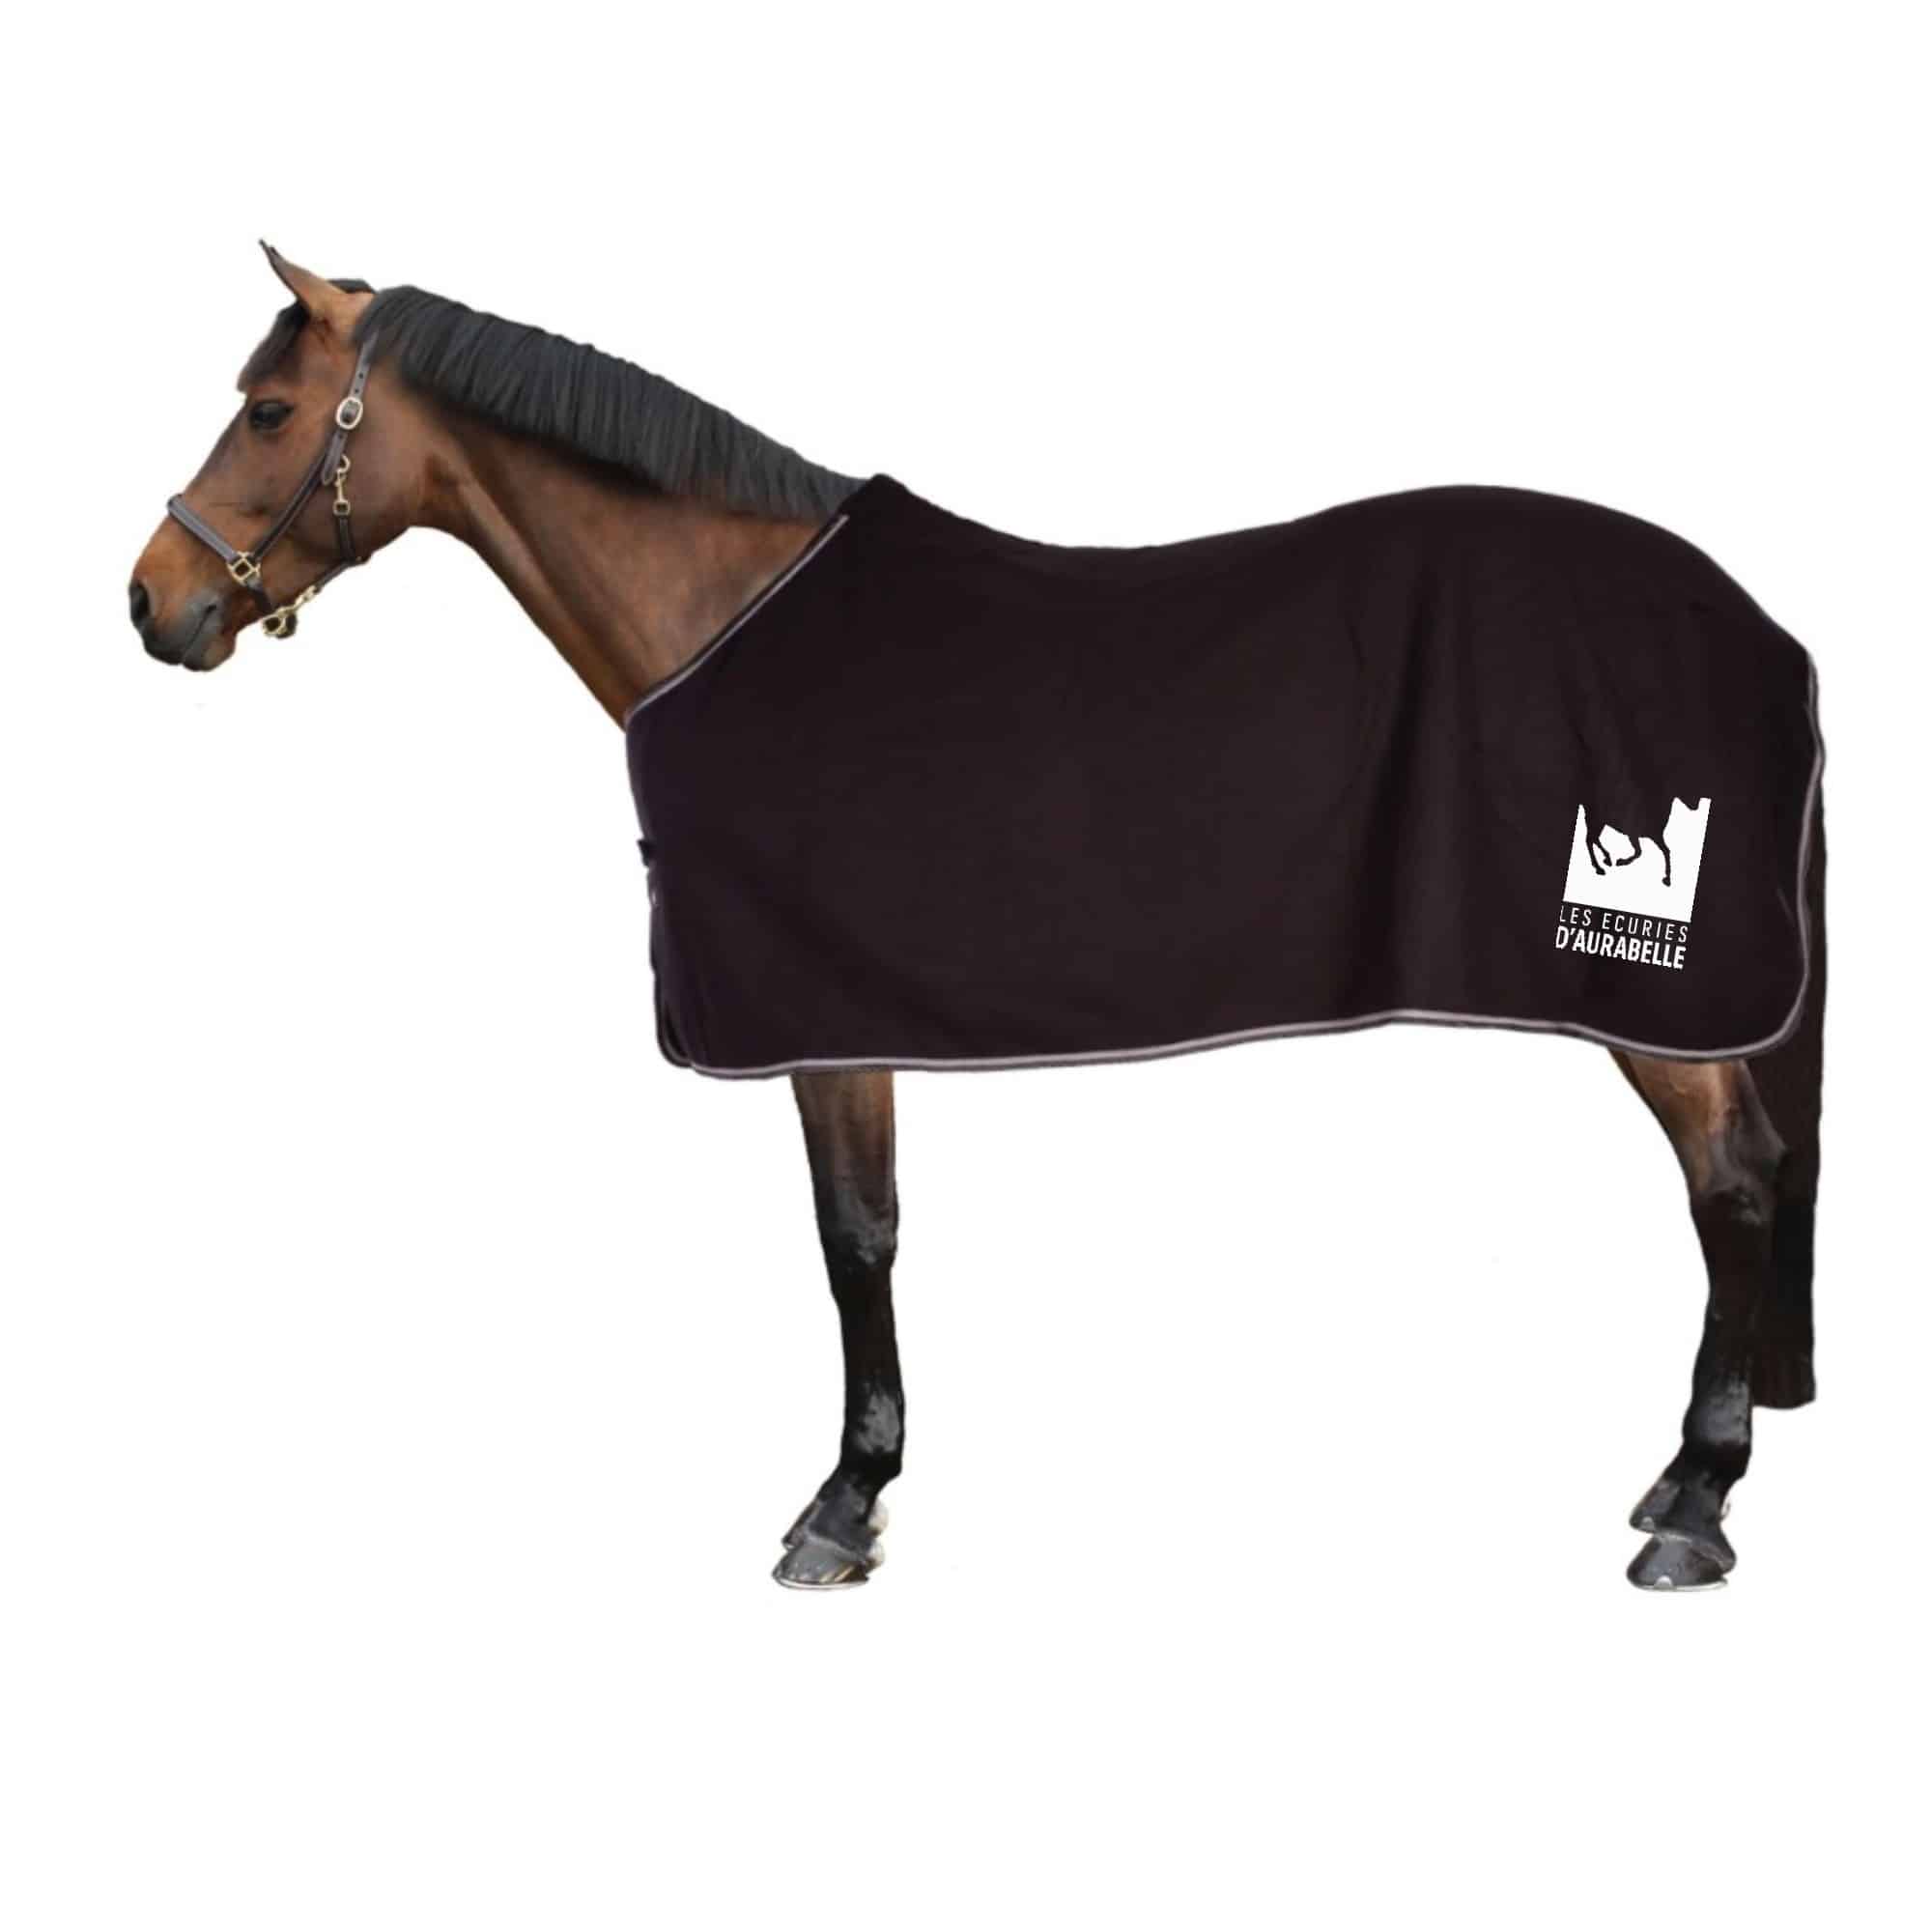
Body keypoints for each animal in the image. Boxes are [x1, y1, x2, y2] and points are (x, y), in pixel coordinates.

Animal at [128, 247, 1826, 1593]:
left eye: (269, 412)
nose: (151, 603)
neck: (735, 617)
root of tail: (1754, 625)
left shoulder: (822, 1017)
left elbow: (855, 1240)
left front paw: (841, 1505)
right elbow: (866, 1234)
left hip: (1648, 997)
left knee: (1734, 1181)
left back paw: (1696, 1505)